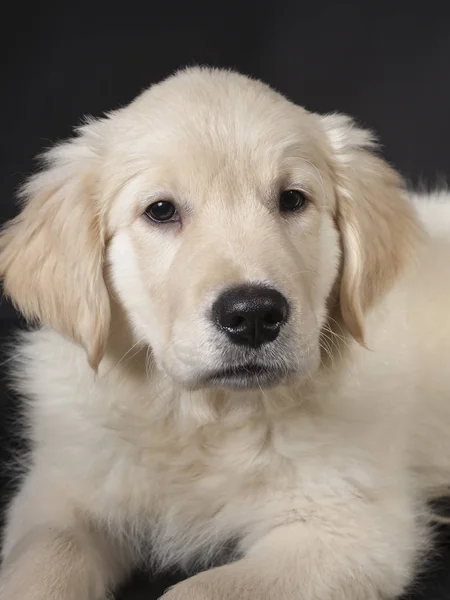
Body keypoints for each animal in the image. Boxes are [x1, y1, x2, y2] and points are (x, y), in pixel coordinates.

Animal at [0, 67, 450, 600]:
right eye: (160, 210)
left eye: (292, 200)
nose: (254, 314)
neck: (204, 418)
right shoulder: (57, 494)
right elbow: (43, 559)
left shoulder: (348, 528)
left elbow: (198, 590)